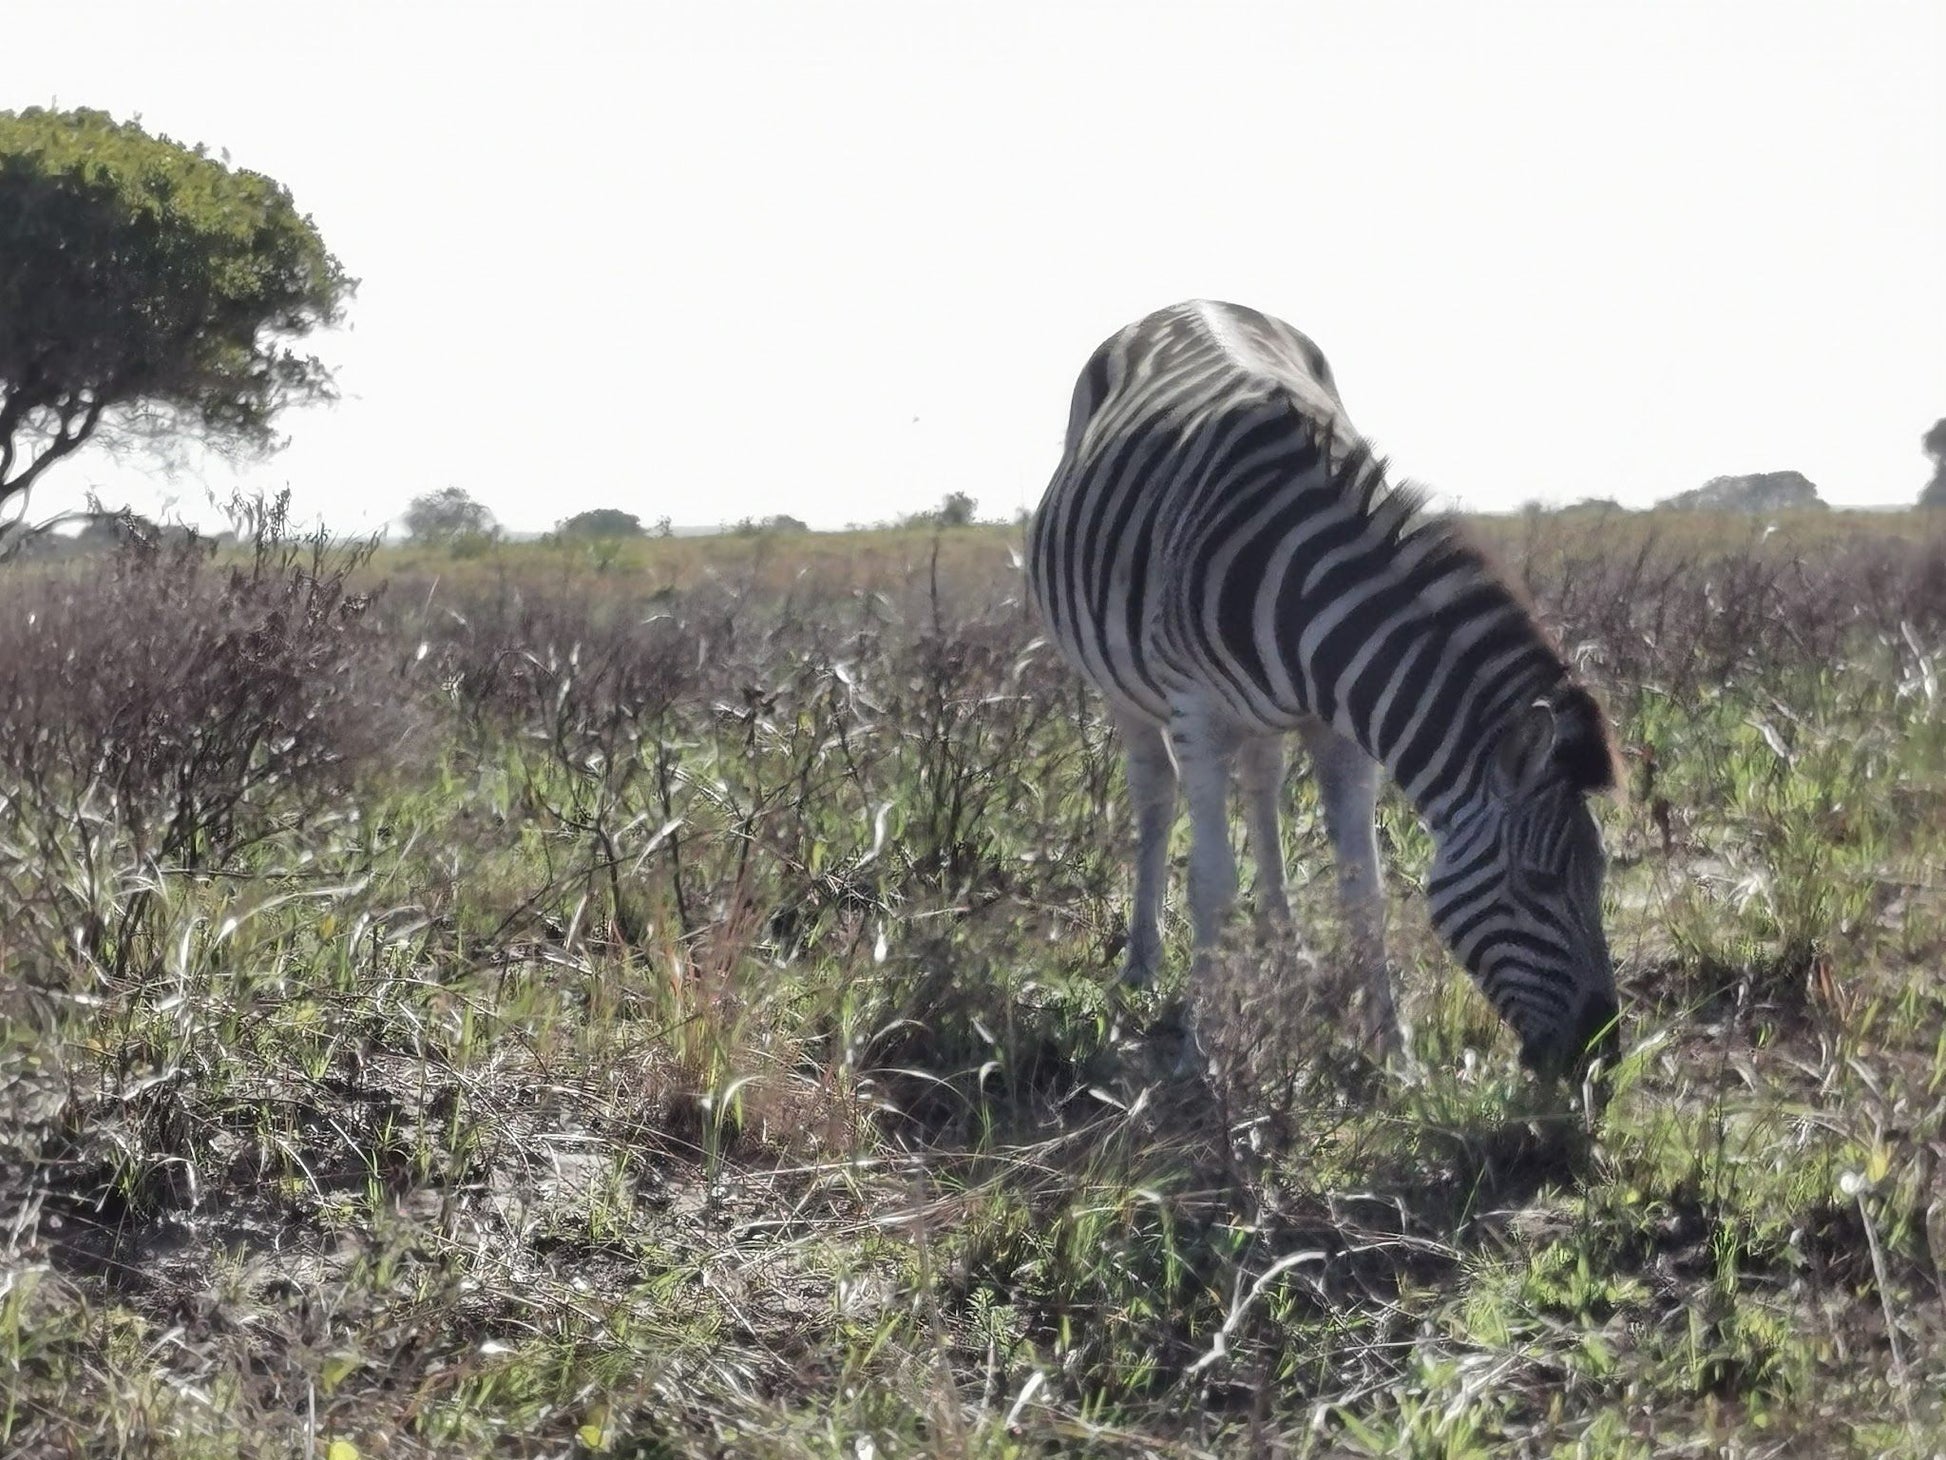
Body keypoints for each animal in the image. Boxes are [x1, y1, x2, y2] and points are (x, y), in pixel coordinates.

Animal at [1027, 299, 1619, 1090]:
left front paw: (1394, 1052)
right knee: (1154, 797)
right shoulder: (1197, 720)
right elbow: (1210, 883)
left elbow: (1363, 887)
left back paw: (1284, 945)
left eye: (1599, 877)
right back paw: (1142, 965)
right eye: (1539, 881)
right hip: (1123, 692)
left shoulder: (1345, 730)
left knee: (1263, 786)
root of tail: (1189, 303)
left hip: (1265, 717)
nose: (1602, 1053)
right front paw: (1200, 1053)